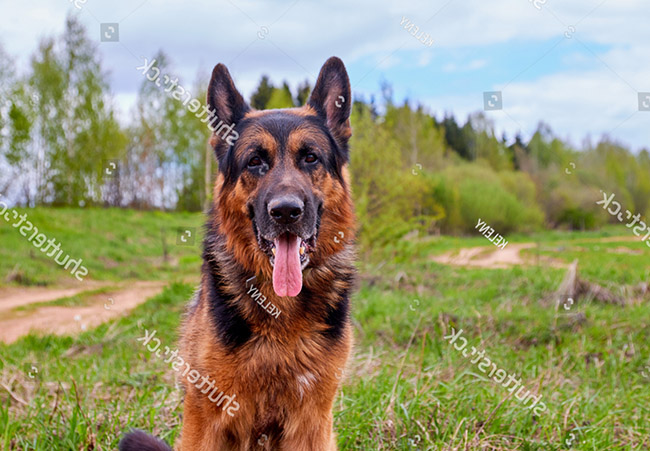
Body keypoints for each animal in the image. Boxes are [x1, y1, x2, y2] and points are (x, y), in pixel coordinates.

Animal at [119, 58, 356, 450]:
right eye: (255, 162)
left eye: (310, 158)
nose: (286, 212)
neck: (279, 307)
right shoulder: (205, 418)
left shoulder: (312, 423)